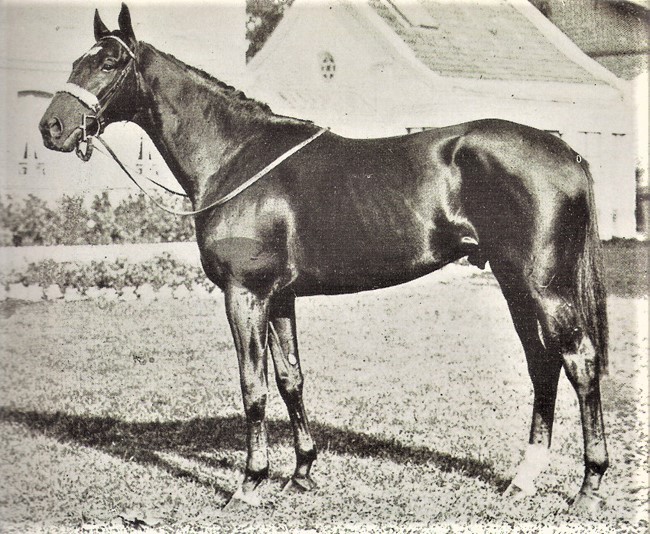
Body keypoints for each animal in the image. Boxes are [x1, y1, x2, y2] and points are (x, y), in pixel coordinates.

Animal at [39, 3, 608, 516]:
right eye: (78, 60)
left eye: (110, 62)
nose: (52, 127)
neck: (236, 155)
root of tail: (567, 153)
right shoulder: (279, 297)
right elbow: (291, 379)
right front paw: (302, 473)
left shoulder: (245, 294)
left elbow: (253, 387)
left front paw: (250, 483)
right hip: (513, 283)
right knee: (542, 364)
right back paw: (523, 480)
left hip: (544, 286)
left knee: (579, 362)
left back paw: (589, 486)